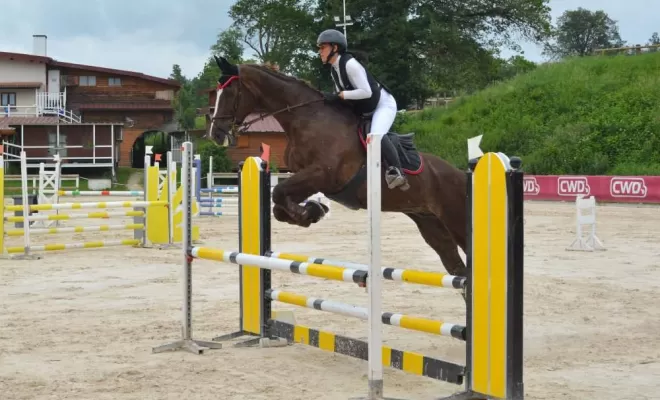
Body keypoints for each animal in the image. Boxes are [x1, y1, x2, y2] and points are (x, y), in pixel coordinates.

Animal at [208, 55, 470, 284]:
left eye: (228, 92)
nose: (216, 134)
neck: (306, 118)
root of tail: (461, 175)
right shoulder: (305, 176)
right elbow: (279, 205)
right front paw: (313, 210)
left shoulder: (324, 174)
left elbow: (278, 193)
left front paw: (309, 213)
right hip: (430, 224)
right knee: (458, 269)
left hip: (455, 219)